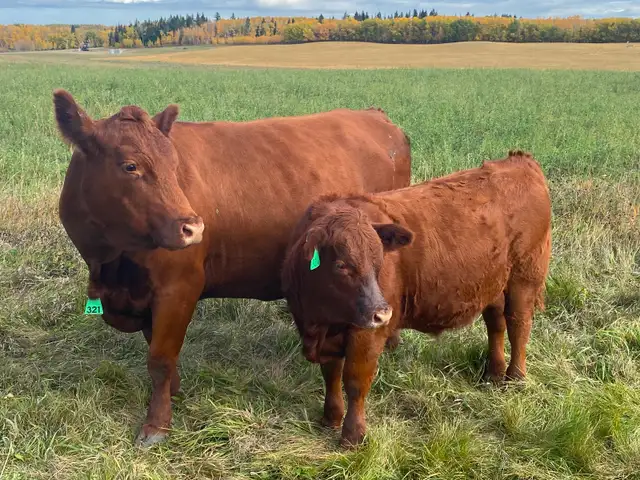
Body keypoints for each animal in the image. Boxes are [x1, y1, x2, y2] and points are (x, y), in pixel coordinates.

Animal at [52, 90, 412, 447]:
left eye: (174, 165)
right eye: (130, 166)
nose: (193, 228)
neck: (112, 264)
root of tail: (374, 114)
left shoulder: (178, 288)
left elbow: (160, 359)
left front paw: (157, 424)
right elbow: (157, 349)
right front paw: (174, 393)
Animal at [281, 151, 552, 448]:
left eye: (379, 261)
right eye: (341, 265)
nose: (383, 313)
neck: (321, 321)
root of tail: (518, 160)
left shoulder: (366, 335)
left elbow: (355, 380)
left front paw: (353, 435)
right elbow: (330, 374)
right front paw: (330, 418)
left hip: (524, 277)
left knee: (518, 325)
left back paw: (516, 378)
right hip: (492, 284)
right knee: (496, 324)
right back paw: (493, 374)